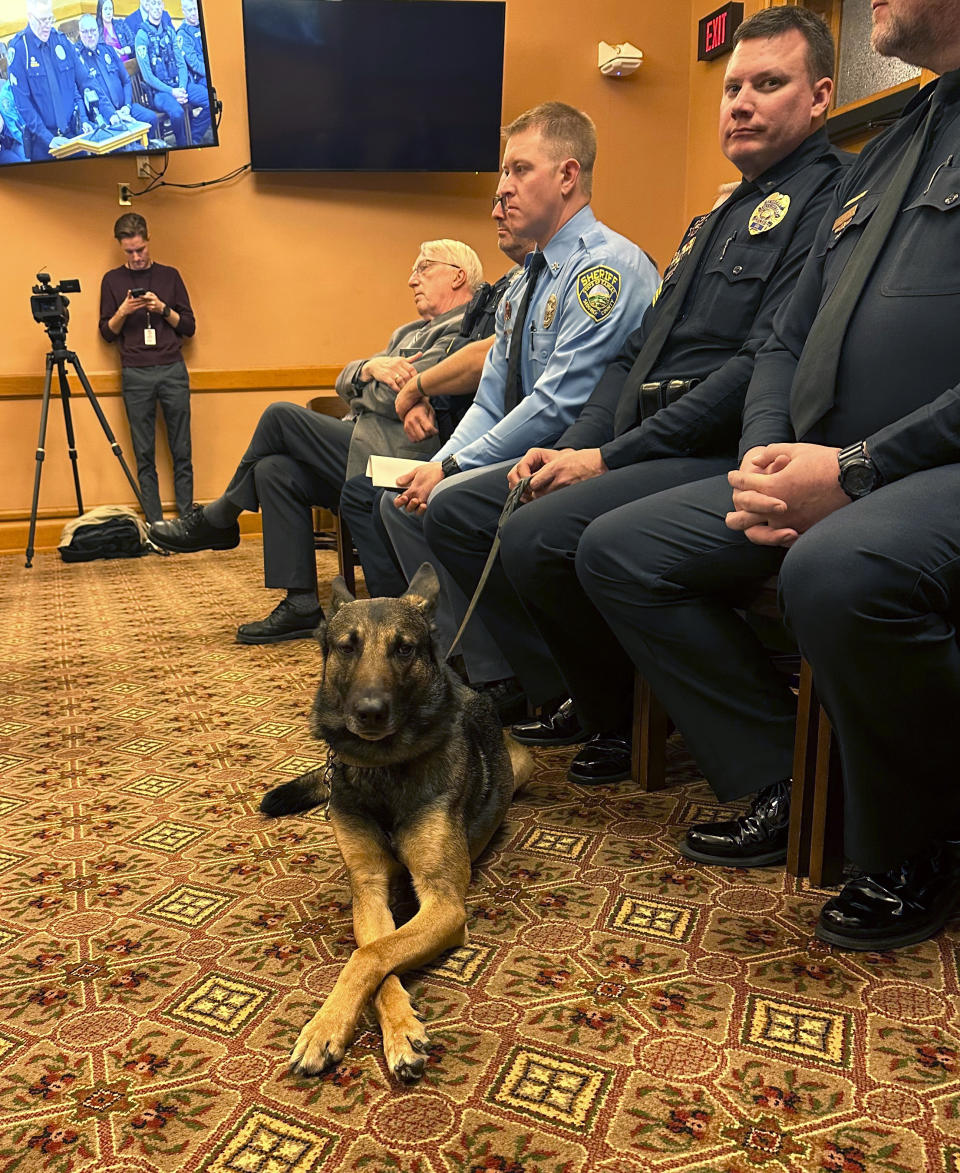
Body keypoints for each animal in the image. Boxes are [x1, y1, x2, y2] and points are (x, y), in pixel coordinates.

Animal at [261, 558, 530, 1079]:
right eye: (347, 647)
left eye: (403, 649)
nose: (369, 712)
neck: (383, 768)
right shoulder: (368, 890)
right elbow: (373, 952)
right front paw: (371, 1026)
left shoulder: (444, 903)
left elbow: (371, 955)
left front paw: (330, 1027)